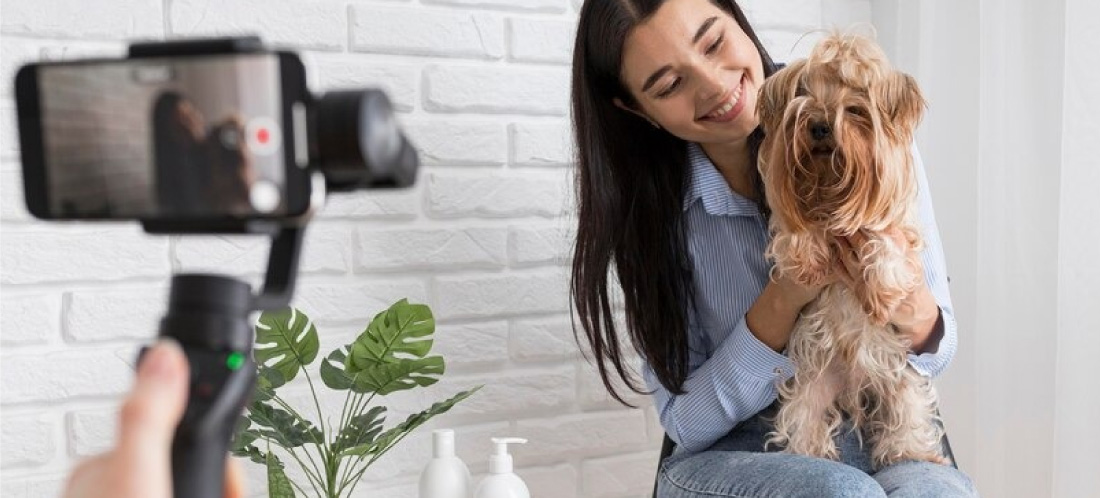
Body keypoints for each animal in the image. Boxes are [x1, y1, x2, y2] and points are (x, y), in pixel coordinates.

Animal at [756, 32, 946, 468]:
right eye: (805, 103)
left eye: (856, 110)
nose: (820, 126)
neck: (830, 188)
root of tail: (856, 384)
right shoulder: (792, 220)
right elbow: (795, 235)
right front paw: (807, 260)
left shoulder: (895, 227)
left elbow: (885, 240)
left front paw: (881, 293)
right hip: (810, 385)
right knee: (803, 417)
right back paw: (810, 453)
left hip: (902, 376)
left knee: (908, 413)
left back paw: (909, 452)